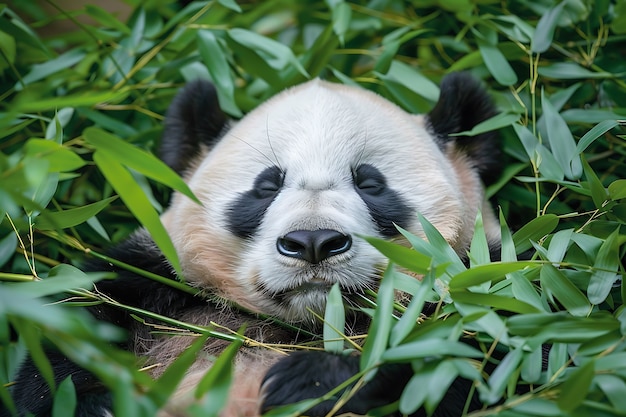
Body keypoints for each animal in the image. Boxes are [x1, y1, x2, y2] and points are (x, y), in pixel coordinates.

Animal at [4, 72, 500, 416]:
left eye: (370, 184)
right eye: (265, 187)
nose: (313, 242)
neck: (309, 324)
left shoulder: (490, 275)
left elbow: (473, 359)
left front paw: (312, 382)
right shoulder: (152, 276)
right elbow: (67, 341)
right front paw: (99, 402)